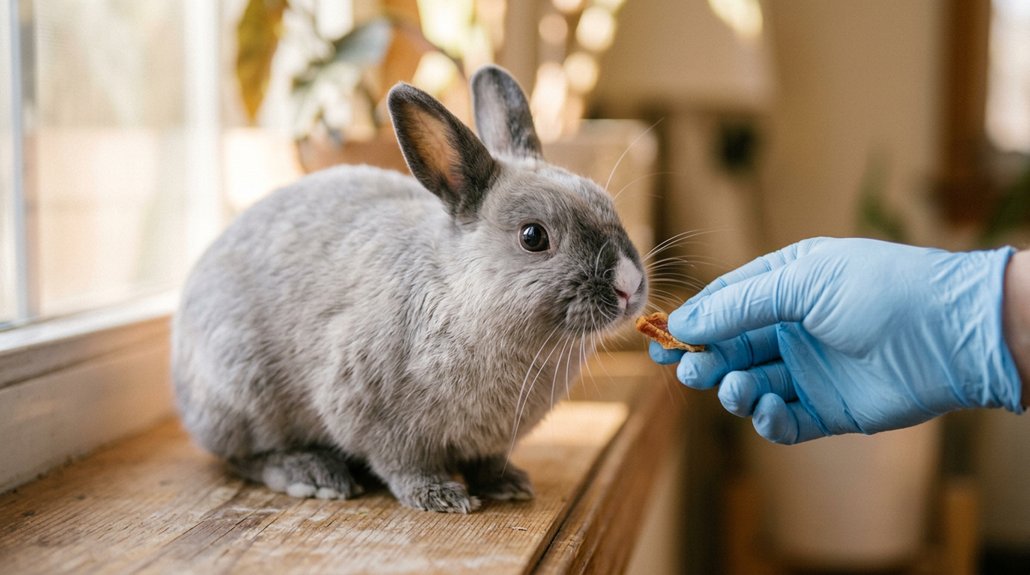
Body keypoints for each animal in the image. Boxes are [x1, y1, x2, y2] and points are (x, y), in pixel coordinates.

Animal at [172, 65, 648, 513]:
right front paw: (440, 496)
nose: (628, 285)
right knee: (242, 457)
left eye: (606, 203)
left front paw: (509, 485)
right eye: (533, 237)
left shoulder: (490, 442)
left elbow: (488, 463)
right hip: (243, 392)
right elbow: (401, 465)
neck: (463, 298)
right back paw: (312, 473)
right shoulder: (371, 413)